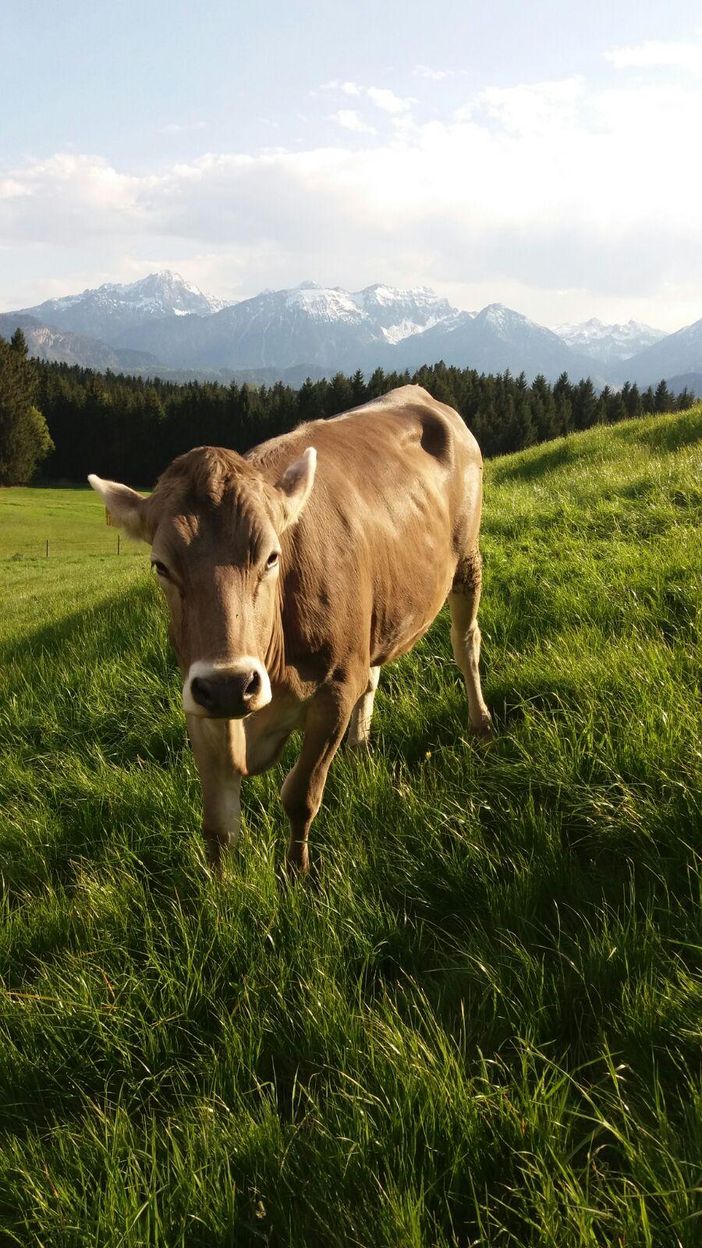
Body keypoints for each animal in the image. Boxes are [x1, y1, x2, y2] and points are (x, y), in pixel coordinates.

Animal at [88, 384, 492, 873]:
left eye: (271, 556)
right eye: (160, 566)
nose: (229, 684)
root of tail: (419, 392)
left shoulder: (335, 689)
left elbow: (300, 796)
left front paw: (295, 876)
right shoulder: (200, 706)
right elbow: (218, 825)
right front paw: (218, 890)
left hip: (467, 559)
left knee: (465, 643)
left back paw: (480, 724)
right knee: (375, 673)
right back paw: (359, 747)